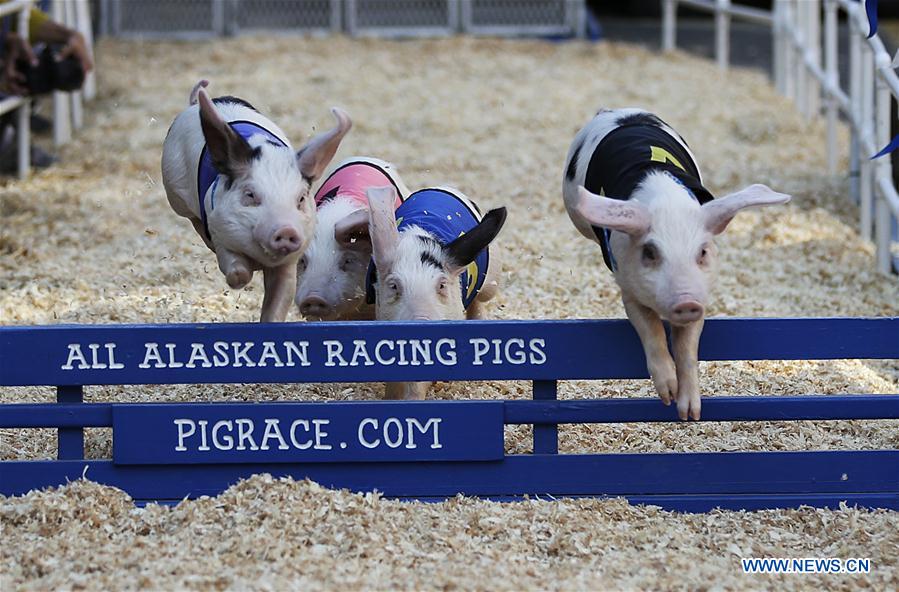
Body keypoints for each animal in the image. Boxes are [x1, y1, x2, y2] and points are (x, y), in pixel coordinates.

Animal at [161, 79, 352, 322]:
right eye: (250, 195)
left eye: (300, 198)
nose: (286, 230)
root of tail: (195, 104)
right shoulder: (220, 229)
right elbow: (231, 264)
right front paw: (241, 278)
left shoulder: (290, 262)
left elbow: (282, 296)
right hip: (174, 192)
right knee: (192, 218)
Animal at [366, 185, 507, 400]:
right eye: (394, 286)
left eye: (441, 285)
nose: (421, 324)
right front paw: (390, 399)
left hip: (491, 281)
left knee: (480, 299)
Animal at [562, 108, 790, 420]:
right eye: (650, 252)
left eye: (703, 251)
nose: (686, 302)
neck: (668, 205)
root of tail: (617, 112)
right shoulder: (628, 285)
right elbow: (651, 329)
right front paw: (667, 395)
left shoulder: (702, 292)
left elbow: (687, 346)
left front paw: (689, 414)